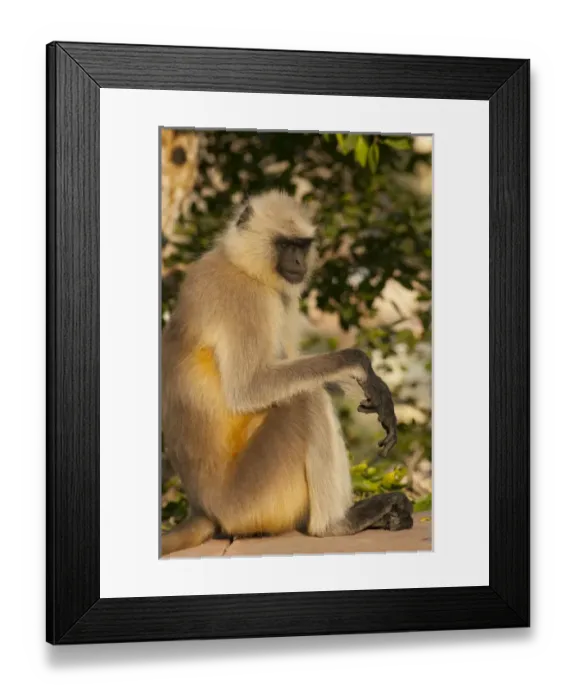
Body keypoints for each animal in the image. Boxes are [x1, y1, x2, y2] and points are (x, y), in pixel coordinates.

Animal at [160, 189, 413, 556]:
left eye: (302, 245)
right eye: (284, 245)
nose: (298, 261)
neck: (239, 264)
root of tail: (203, 508)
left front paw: (367, 389)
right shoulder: (246, 299)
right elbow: (251, 388)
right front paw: (360, 366)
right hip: (251, 501)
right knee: (306, 399)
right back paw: (336, 525)